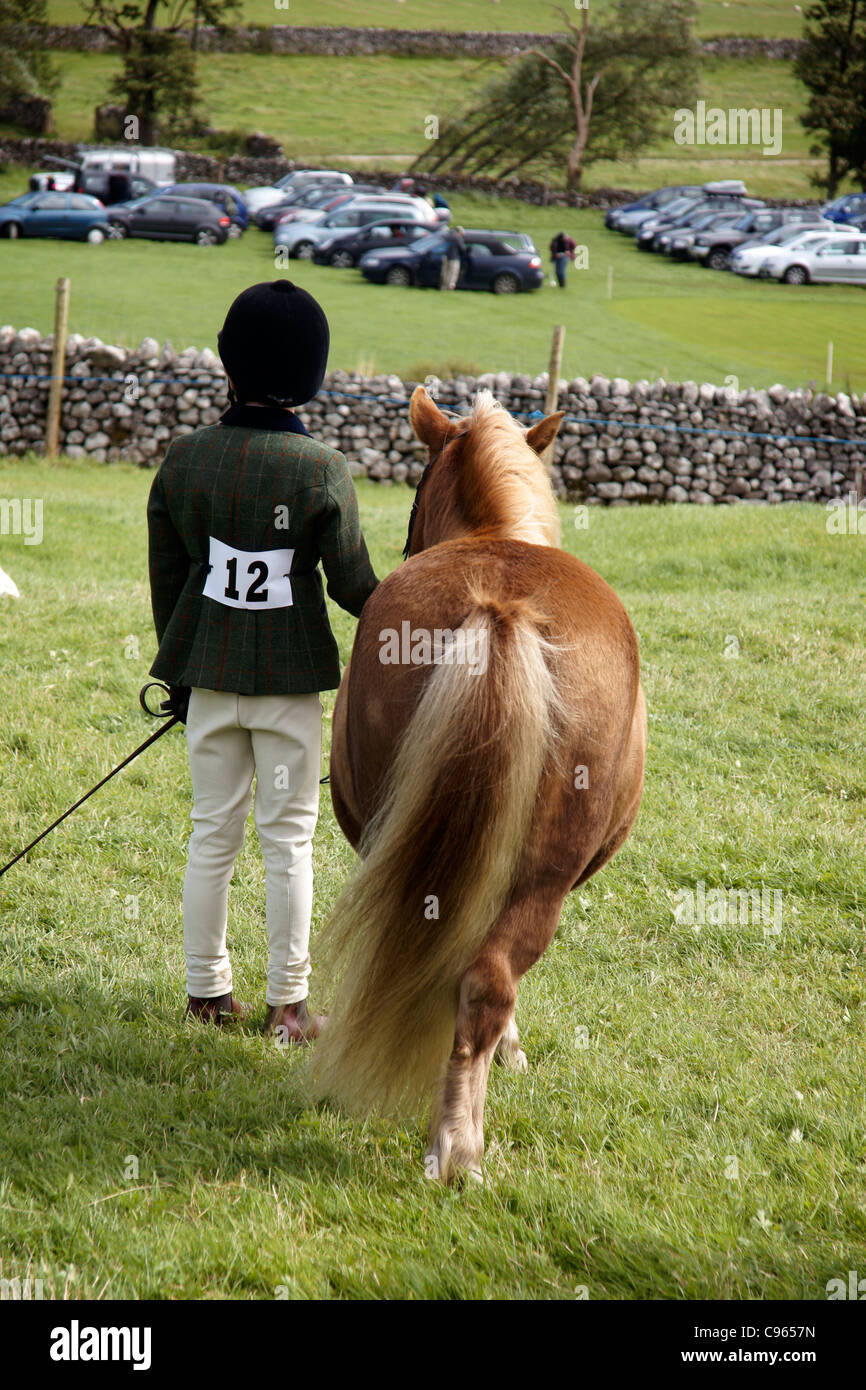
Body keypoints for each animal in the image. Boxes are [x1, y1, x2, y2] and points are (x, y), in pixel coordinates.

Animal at [309, 389, 644, 1184]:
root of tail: (502, 609)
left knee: (476, 978)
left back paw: (454, 1142)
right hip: (544, 875)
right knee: (486, 979)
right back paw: (460, 1144)